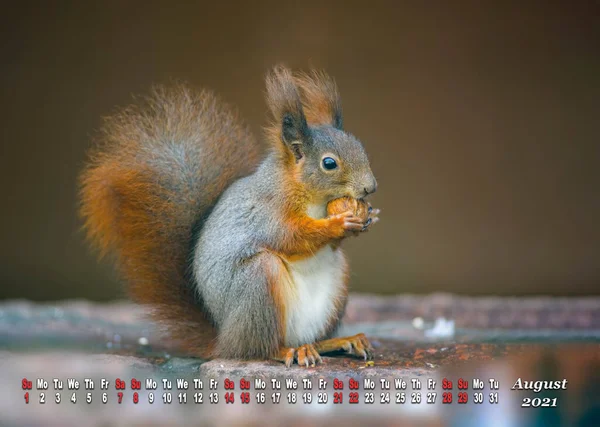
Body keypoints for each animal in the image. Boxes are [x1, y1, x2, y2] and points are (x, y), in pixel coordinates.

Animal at [78, 67, 380, 368]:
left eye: (359, 146)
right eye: (329, 163)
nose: (371, 188)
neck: (312, 197)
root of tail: (224, 340)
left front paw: (366, 217)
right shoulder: (268, 213)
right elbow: (292, 237)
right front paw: (338, 224)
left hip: (336, 282)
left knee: (311, 339)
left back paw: (341, 341)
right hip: (257, 283)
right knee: (260, 348)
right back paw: (290, 351)